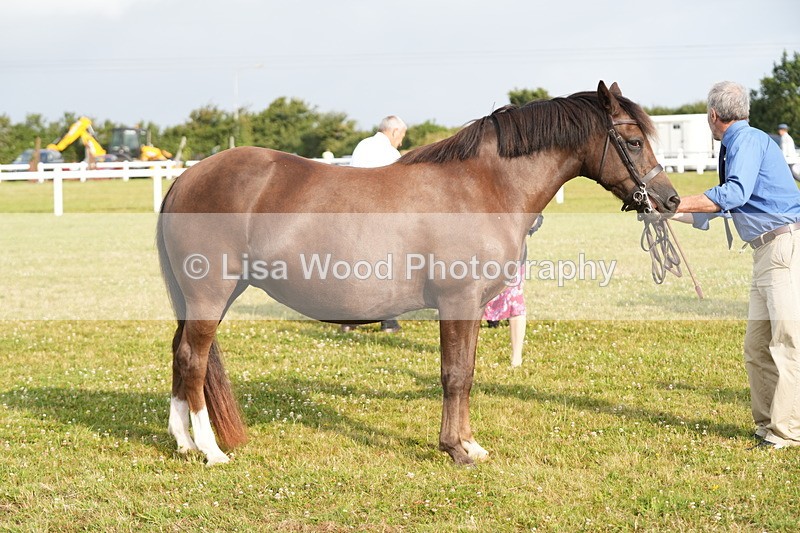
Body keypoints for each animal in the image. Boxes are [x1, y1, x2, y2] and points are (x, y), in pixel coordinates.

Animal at [157, 81, 680, 466]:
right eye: (634, 141)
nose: (670, 200)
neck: (483, 186)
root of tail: (186, 178)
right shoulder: (458, 300)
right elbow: (455, 375)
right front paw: (456, 449)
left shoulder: (470, 305)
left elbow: (466, 372)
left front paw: (469, 444)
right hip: (209, 295)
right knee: (193, 360)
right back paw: (210, 450)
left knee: (180, 355)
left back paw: (183, 441)